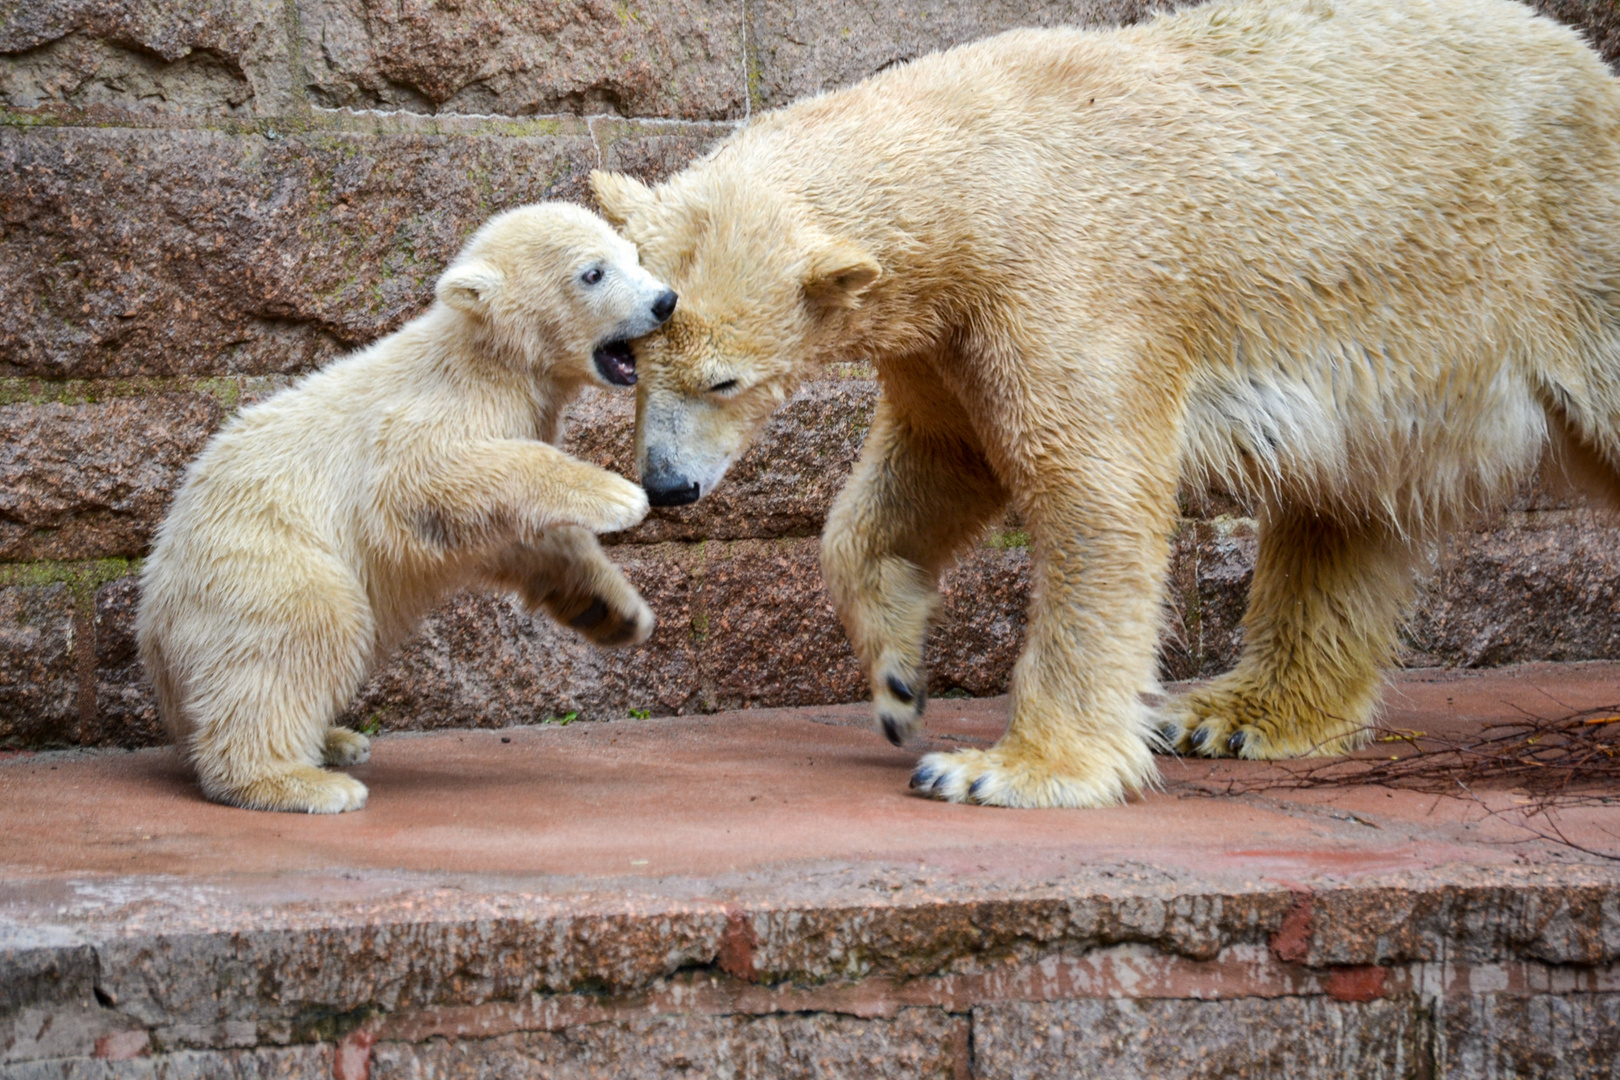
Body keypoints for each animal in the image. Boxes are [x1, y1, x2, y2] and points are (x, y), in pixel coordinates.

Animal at [589, 0, 1620, 809]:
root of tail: (1590, 65)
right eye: (629, 357)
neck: (986, 161)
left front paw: (1001, 769)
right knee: (1343, 506)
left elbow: (1093, 493)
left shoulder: (1069, 282)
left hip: (1566, 260)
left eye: (725, 379)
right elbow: (930, 469)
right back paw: (1234, 715)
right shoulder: (949, 333)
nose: (668, 486)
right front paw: (895, 683)